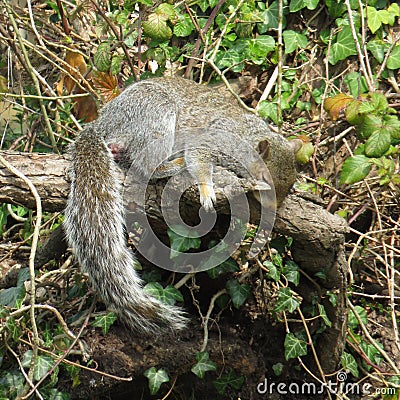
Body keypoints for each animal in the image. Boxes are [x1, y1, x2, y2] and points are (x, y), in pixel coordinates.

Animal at [64, 76, 298, 332]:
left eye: (292, 183)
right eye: (265, 176)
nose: (274, 208)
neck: (245, 137)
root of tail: (104, 123)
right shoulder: (212, 141)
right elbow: (199, 159)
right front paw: (207, 190)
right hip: (155, 113)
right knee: (145, 163)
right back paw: (173, 165)